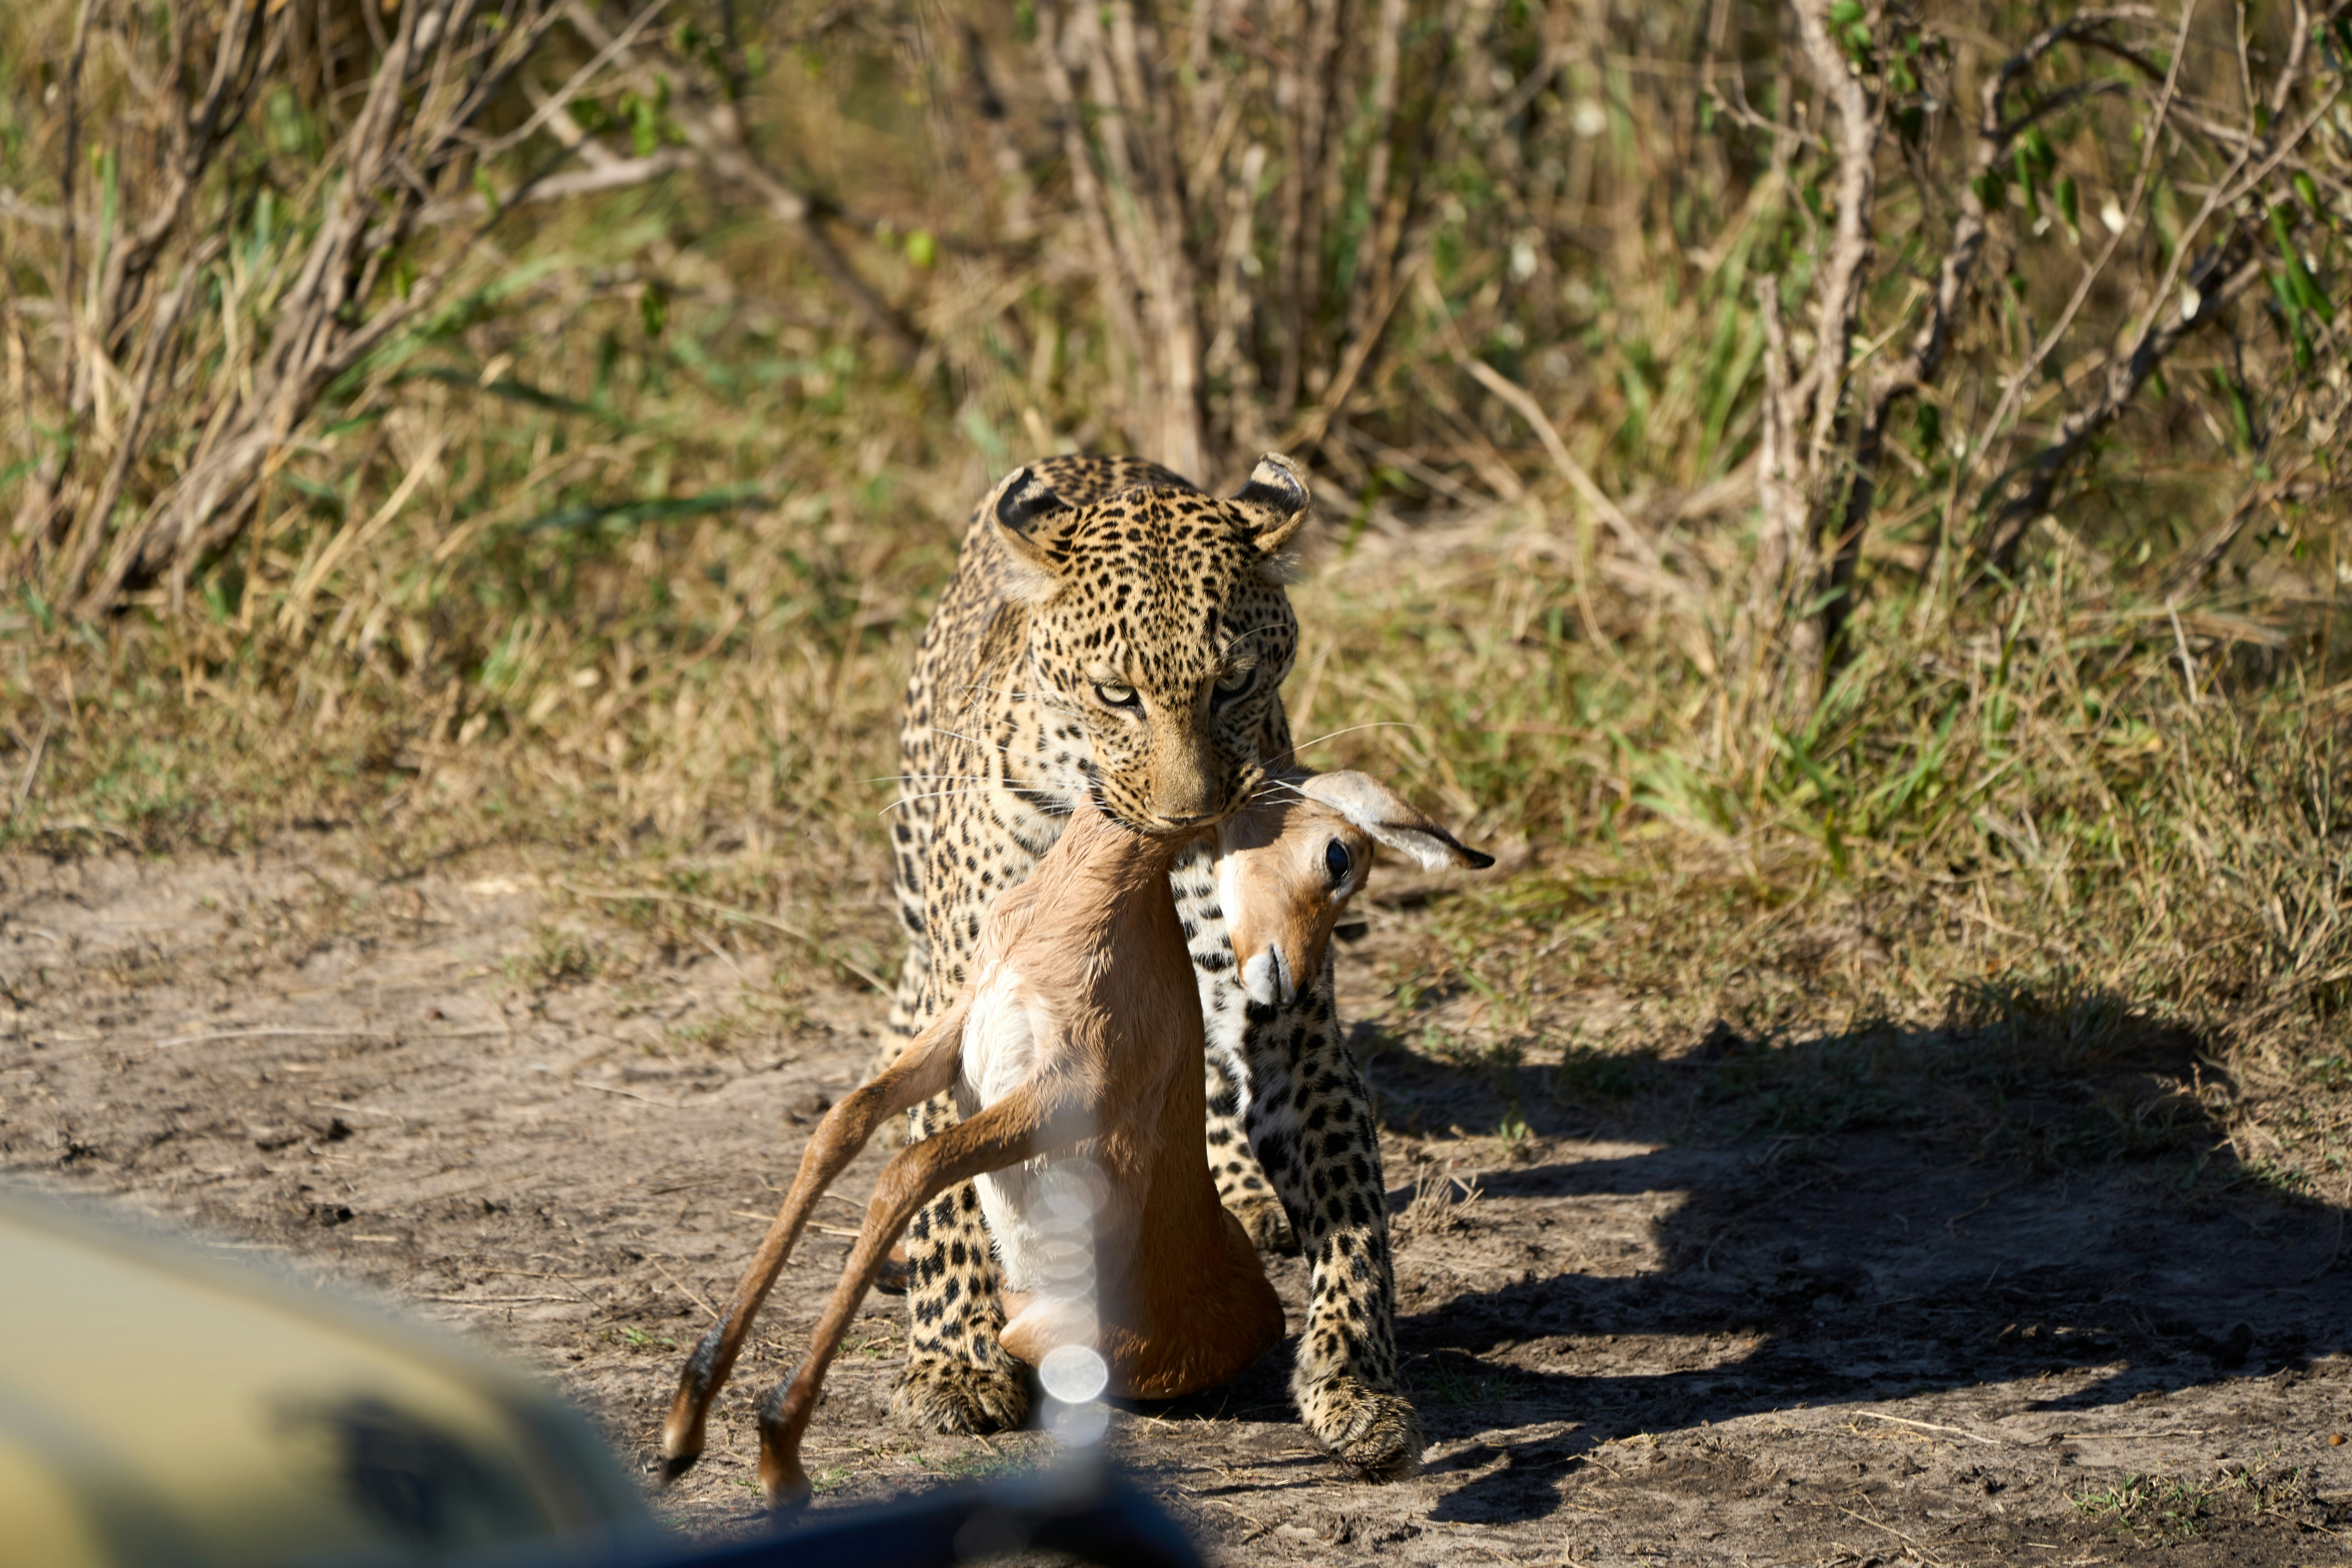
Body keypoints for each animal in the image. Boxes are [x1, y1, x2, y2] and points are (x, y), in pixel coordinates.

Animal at [659, 772, 1488, 1506]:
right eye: (1338, 855)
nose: (1291, 983)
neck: (1075, 904)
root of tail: (1262, 1312)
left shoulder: (1062, 1092)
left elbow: (910, 1167)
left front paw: (778, 1448)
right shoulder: (959, 1034)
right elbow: (842, 1128)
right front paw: (686, 1420)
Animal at [876, 451, 1423, 1480]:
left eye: (1234, 682)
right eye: (1116, 693)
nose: (1188, 815)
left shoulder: (1294, 1031)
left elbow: (1355, 1220)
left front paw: (1356, 1385)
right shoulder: (974, 1009)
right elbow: (947, 1192)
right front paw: (955, 1363)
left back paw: (1240, 1193)